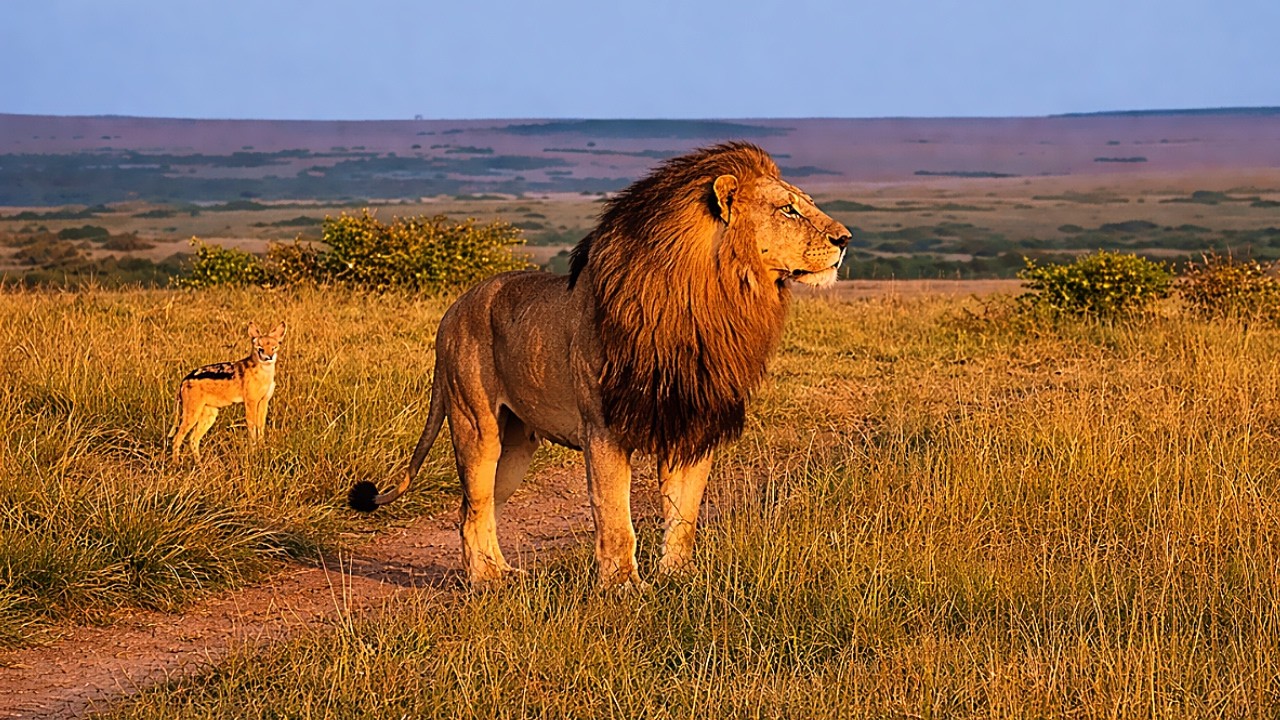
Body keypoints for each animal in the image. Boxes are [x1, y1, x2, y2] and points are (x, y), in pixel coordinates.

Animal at [348, 142, 851, 586]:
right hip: (476, 425)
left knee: (481, 507)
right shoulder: (605, 429)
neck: (716, 298)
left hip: (516, 444)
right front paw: (624, 586)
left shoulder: (692, 422)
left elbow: (684, 513)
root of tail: (453, 309)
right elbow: (614, 516)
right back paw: (486, 581)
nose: (845, 239)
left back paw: (504, 573)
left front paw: (680, 578)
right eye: (788, 210)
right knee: (471, 508)